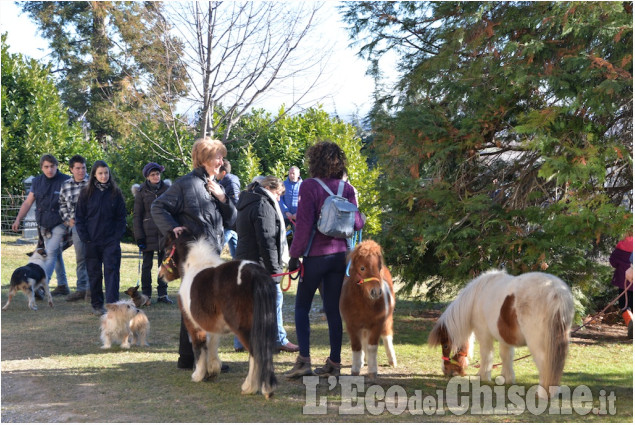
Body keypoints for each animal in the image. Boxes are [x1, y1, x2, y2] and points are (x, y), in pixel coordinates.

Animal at [158, 229, 278, 398]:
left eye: (167, 251)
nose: (160, 275)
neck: (194, 266)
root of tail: (256, 274)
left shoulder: (192, 323)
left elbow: (199, 346)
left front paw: (198, 375)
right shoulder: (211, 322)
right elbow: (212, 343)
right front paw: (213, 370)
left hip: (245, 329)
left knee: (256, 353)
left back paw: (250, 387)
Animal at [340, 238, 396, 378]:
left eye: (379, 267)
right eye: (362, 268)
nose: (376, 292)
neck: (364, 304)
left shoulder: (377, 324)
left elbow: (372, 347)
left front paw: (372, 371)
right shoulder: (351, 325)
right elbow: (356, 346)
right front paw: (355, 369)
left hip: (387, 319)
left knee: (387, 336)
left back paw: (392, 360)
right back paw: (362, 361)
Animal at [428, 270, 576, 400]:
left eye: (445, 345)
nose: (445, 371)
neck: (476, 298)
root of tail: (556, 292)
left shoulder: (484, 334)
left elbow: (486, 355)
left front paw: (483, 376)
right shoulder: (504, 338)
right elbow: (506, 356)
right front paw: (507, 378)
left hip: (537, 344)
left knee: (545, 364)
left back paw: (544, 393)